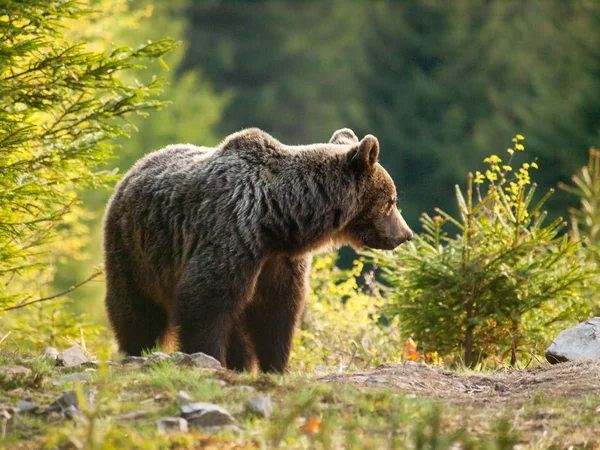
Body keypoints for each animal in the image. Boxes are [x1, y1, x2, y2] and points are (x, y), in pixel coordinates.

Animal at [103, 127, 412, 372]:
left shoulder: (279, 261)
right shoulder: (232, 233)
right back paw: (137, 349)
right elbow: (205, 301)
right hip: (135, 250)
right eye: (391, 200)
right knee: (135, 308)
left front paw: (274, 366)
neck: (277, 219)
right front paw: (209, 357)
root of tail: (134, 169)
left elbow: (276, 313)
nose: (405, 235)